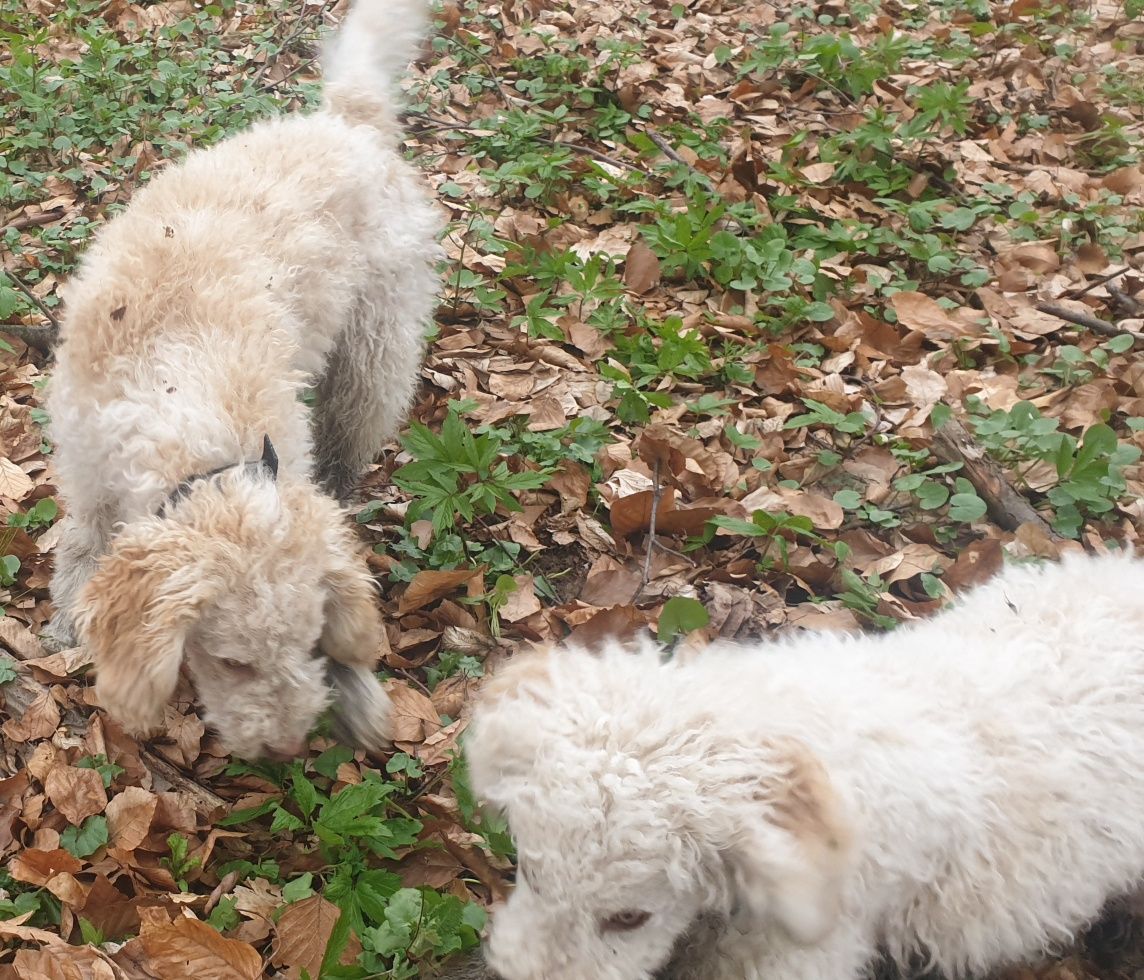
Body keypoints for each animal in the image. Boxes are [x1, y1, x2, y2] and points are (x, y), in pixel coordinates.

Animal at [43, 0, 441, 759]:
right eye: (230, 661)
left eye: (311, 644)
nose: (285, 750)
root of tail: (346, 119)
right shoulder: (85, 469)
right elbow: (81, 546)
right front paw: (66, 617)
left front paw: (358, 693)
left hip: (374, 350)